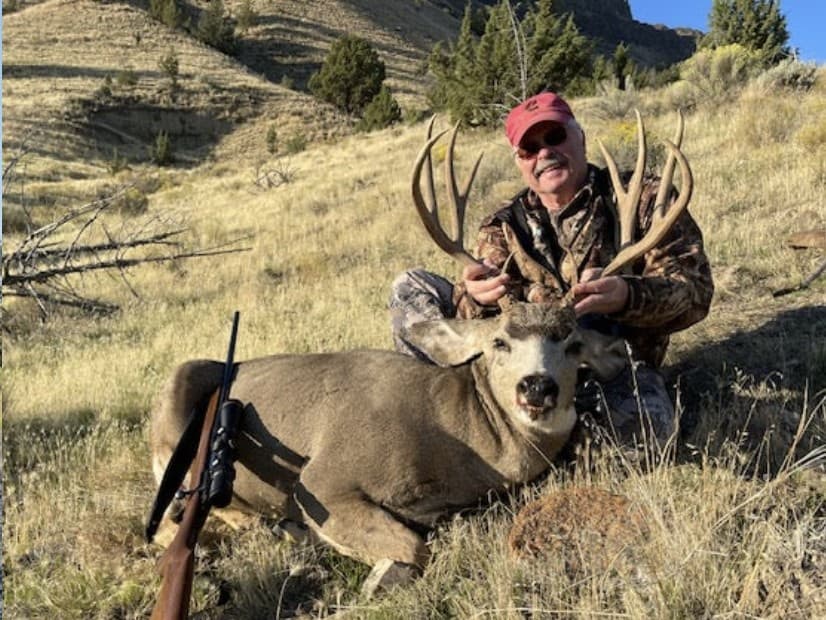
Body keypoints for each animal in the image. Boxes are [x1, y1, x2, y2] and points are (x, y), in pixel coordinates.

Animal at [149, 110, 693, 596]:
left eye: (573, 343)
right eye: (499, 342)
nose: (537, 386)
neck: (454, 435)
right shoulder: (323, 477)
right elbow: (414, 546)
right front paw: (366, 572)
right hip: (174, 418)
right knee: (166, 523)